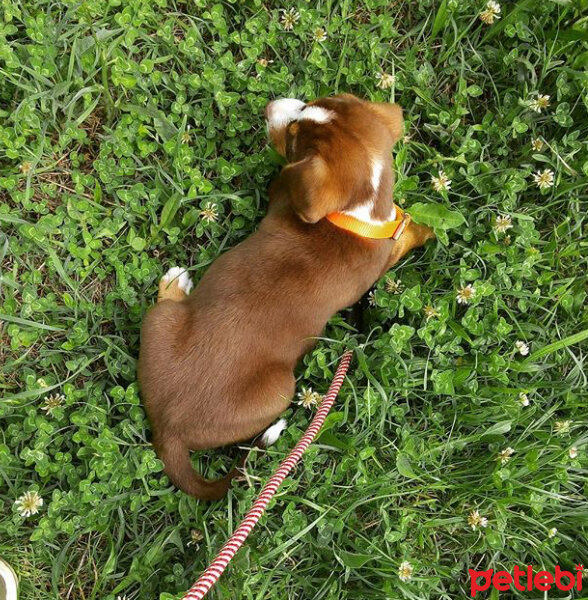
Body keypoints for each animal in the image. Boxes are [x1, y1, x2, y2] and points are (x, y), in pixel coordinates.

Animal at [137, 94, 432, 502]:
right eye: (310, 104)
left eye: (292, 137)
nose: (269, 107)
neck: (356, 213)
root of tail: (168, 431)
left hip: (257, 376)